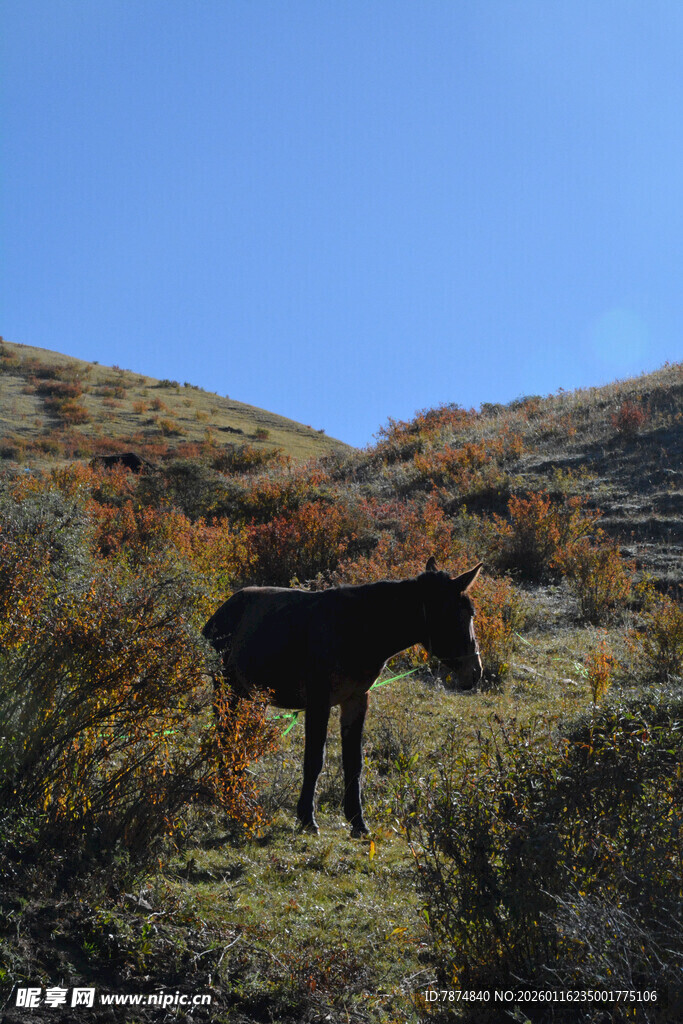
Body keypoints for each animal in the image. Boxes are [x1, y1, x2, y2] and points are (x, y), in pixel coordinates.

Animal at [202, 557, 483, 837]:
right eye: (465, 615)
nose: (476, 672)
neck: (358, 629)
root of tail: (221, 612)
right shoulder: (319, 701)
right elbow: (315, 759)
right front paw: (307, 818)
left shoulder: (356, 700)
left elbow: (354, 762)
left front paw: (357, 820)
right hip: (226, 691)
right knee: (225, 736)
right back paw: (227, 792)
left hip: (249, 697)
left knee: (238, 739)